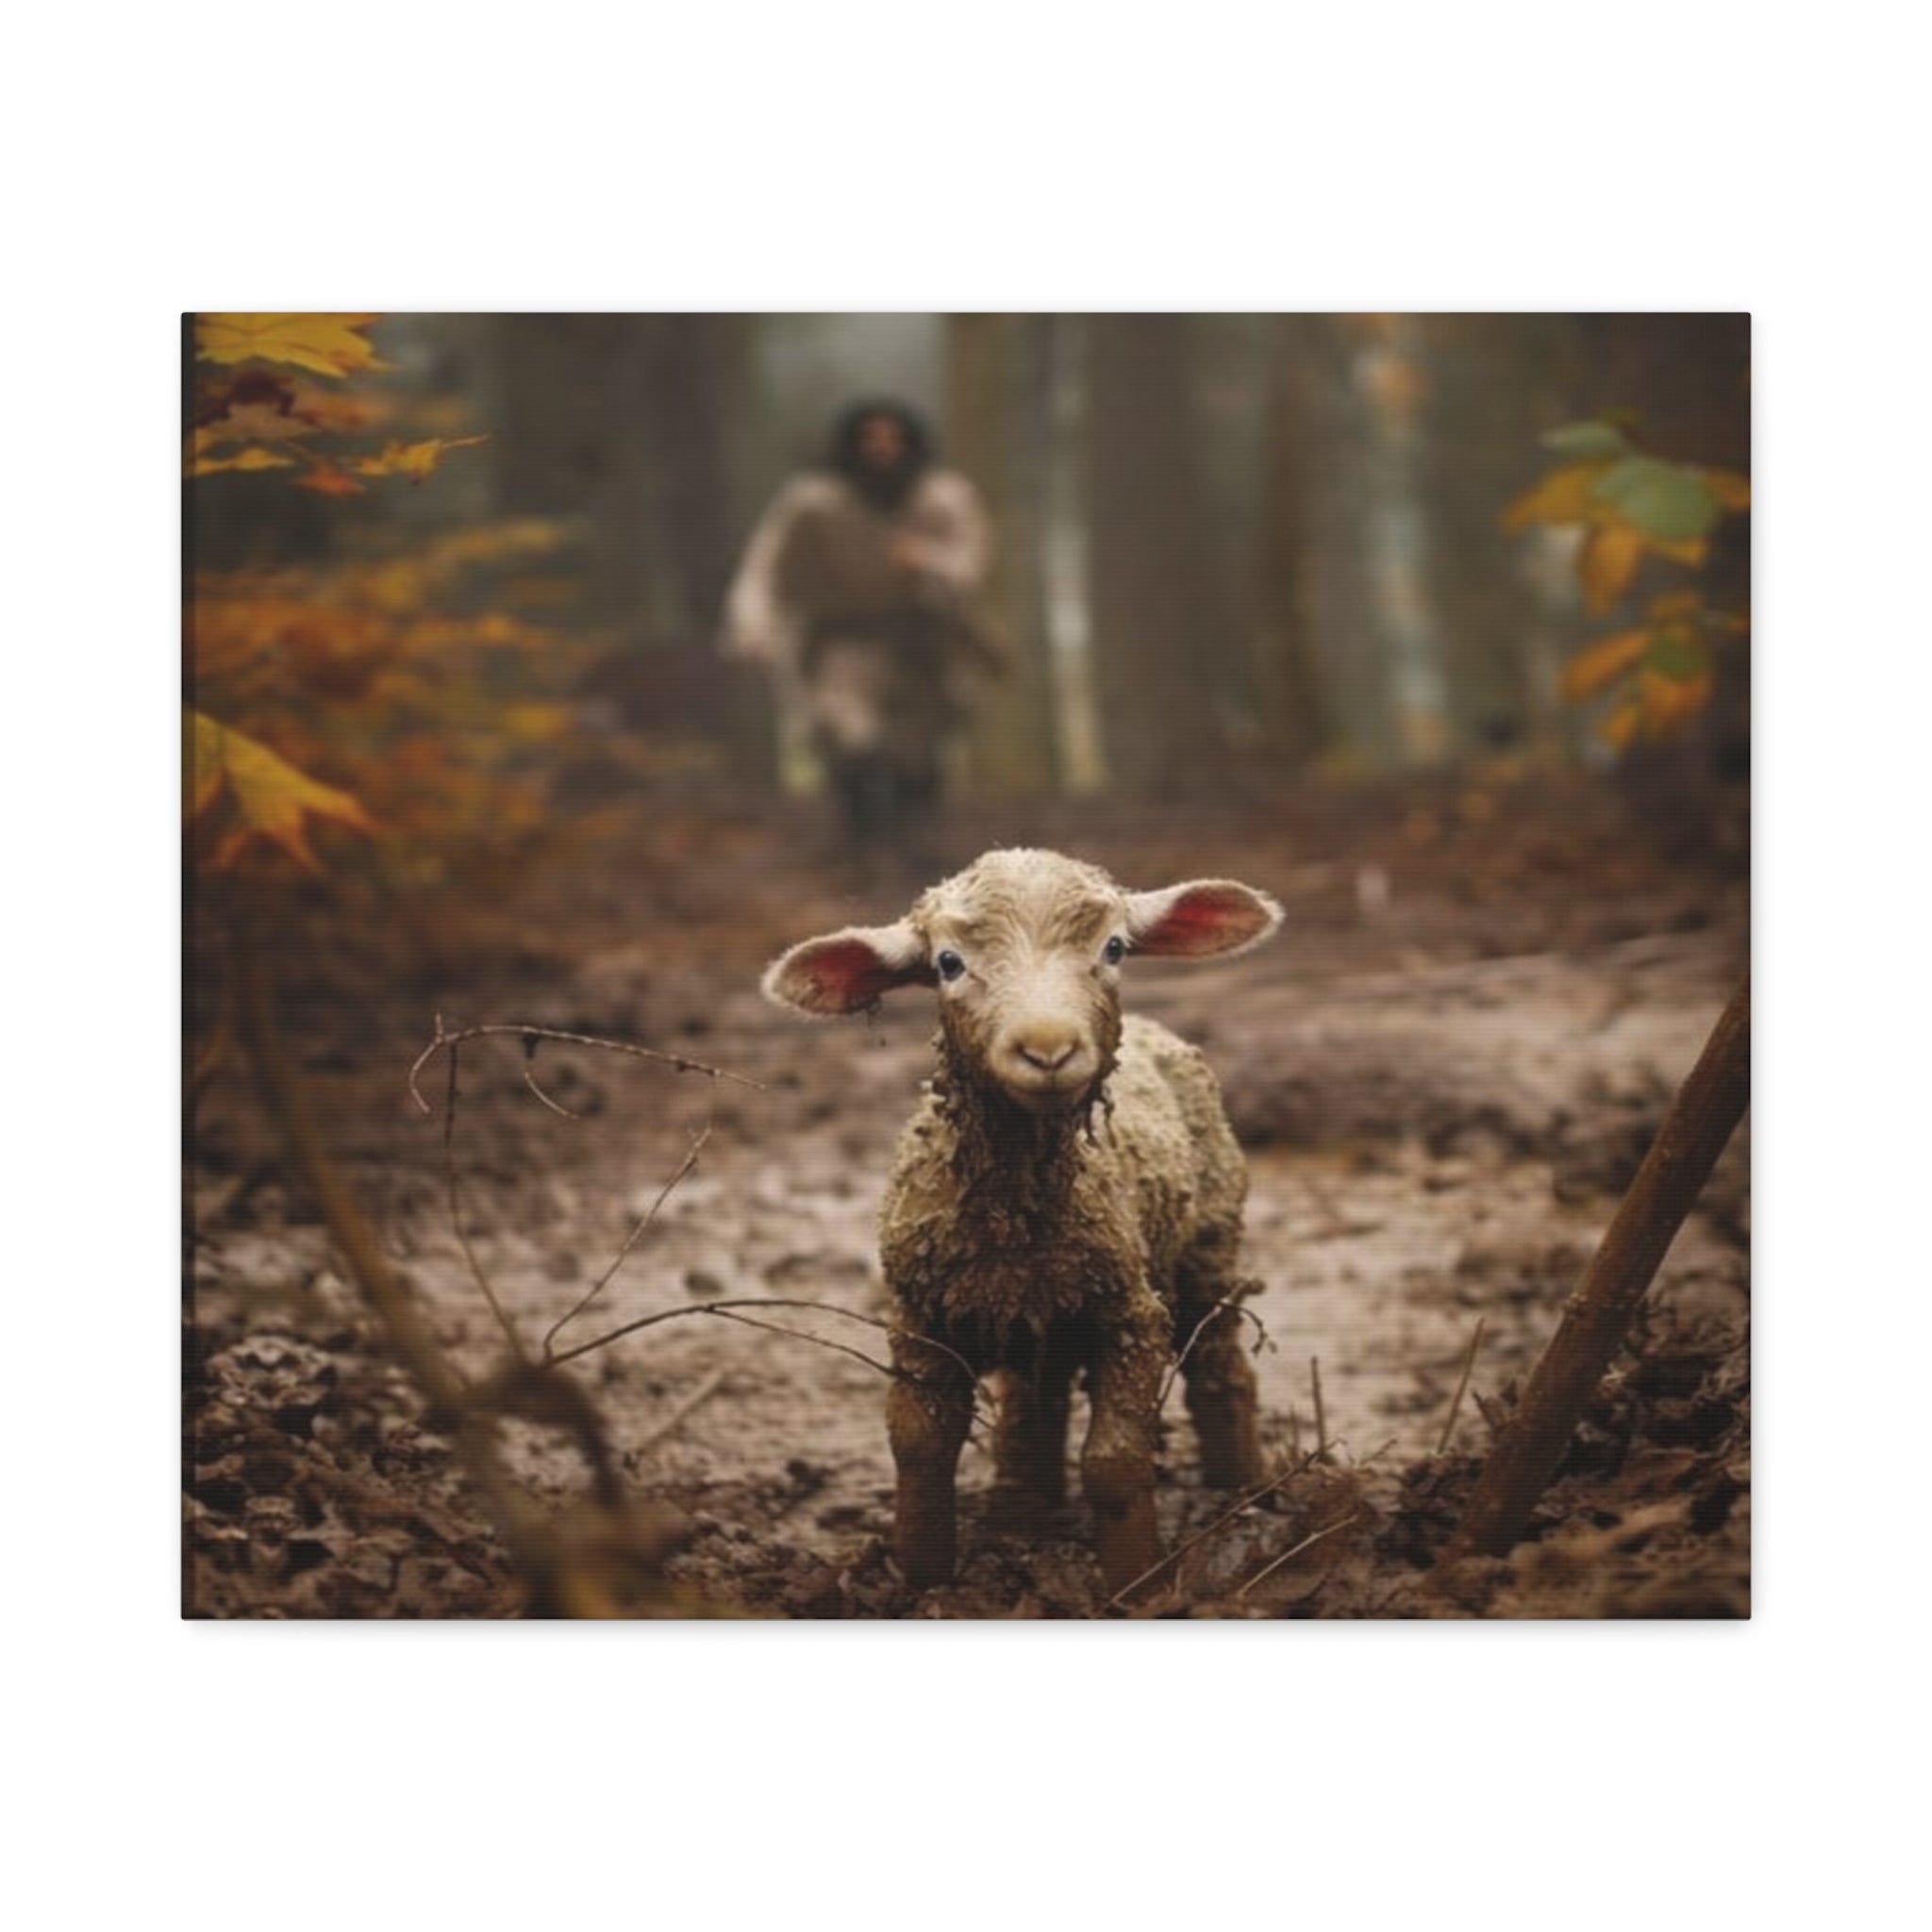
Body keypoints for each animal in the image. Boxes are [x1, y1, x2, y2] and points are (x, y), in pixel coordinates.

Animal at [762, 847, 1282, 1595]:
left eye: (1114, 948)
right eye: (948, 963)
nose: (1048, 1049)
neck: (1017, 1217)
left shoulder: (1131, 1315)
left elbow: (1114, 1461)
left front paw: (1137, 1586)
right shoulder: (918, 1318)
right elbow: (919, 1448)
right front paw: (922, 1580)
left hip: (1209, 1243)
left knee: (1220, 1369)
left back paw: (1244, 1494)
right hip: (1047, 1319)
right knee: (1037, 1401)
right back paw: (1025, 1509)